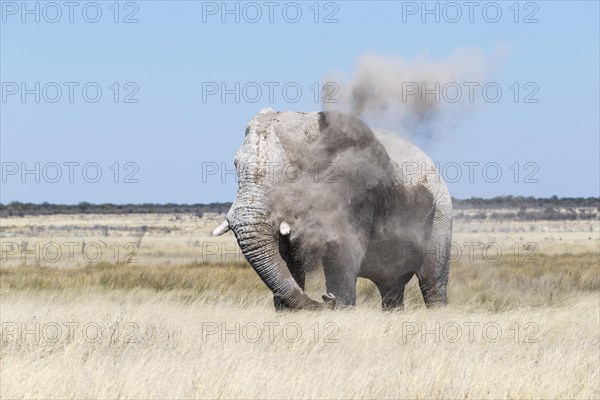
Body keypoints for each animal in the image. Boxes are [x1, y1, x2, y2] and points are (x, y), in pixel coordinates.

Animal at [213, 108, 452, 310]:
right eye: (235, 166)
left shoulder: (355, 196)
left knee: (432, 283)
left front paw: (340, 306)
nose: (326, 298)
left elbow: (343, 255)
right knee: (391, 289)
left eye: (293, 171)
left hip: (441, 214)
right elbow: (288, 261)